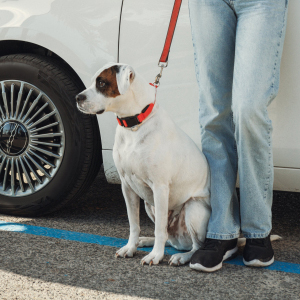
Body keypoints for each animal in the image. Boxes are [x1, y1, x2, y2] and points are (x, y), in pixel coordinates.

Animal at [75, 62, 278, 266]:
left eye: (101, 83)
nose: (77, 97)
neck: (134, 125)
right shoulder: (127, 187)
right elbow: (134, 224)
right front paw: (131, 247)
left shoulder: (160, 187)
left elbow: (159, 230)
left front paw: (155, 256)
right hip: (150, 205)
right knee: (168, 237)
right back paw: (146, 241)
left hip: (193, 209)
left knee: (194, 245)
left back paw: (182, 257)